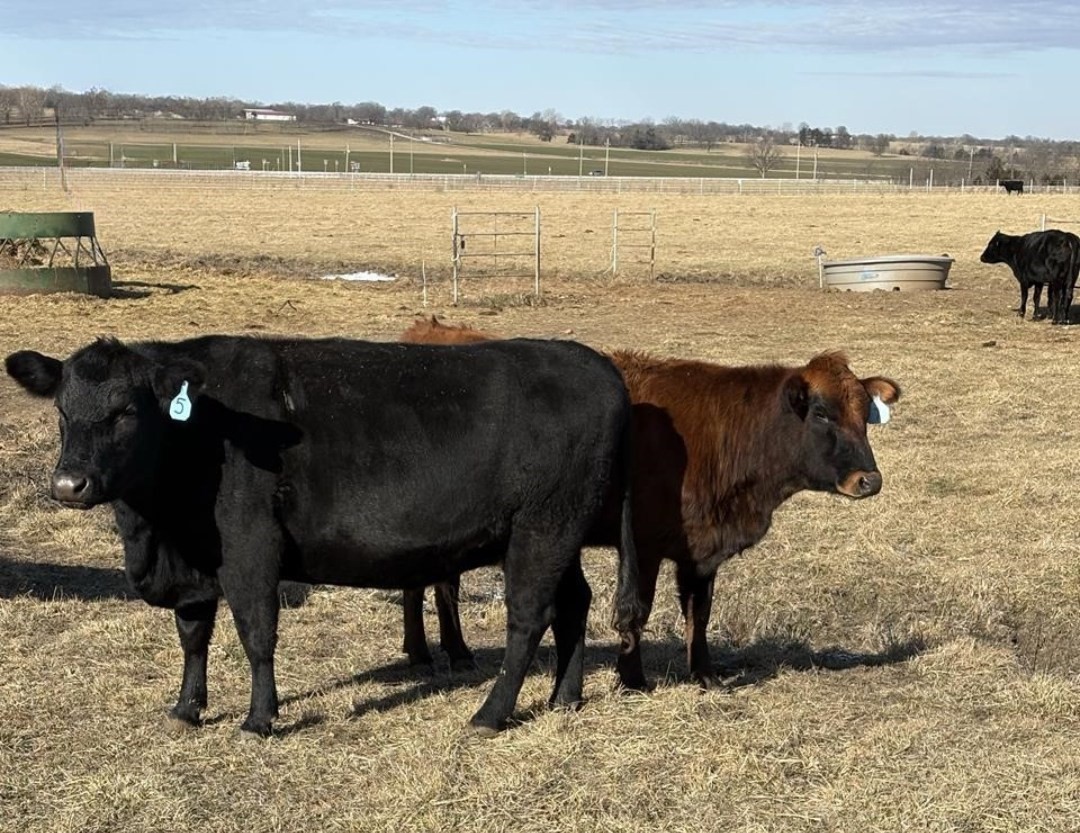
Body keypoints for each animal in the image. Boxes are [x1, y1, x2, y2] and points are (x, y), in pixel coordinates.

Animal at [5, 334, 642, 737]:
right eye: (61, 410)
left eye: (125, 411)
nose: (69, 484)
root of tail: (597, 365)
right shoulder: (196, 562)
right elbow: (193, 634)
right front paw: (187, 708)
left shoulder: (250, 548)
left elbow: (256, 633)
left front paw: (259, 719)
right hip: (562, 533)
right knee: (574, 603)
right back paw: (564, 697)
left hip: (541, 527)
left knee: (529, 617)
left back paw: (490, 714)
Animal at [398, 317, 900, 691]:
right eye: (821, 413)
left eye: (865, 415)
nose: (869, 480)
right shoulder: (644, 544)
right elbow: (636, 610)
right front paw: (632, 678)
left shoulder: (699, 549)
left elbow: (699, 611)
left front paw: (704, 673)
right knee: (438, 585)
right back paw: (448, 652)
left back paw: (429, 652)